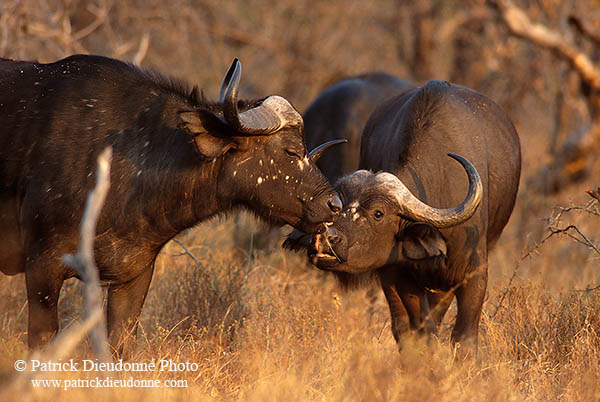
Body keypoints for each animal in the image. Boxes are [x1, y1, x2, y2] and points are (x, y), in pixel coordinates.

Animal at [286, 80, 520, 354]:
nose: (325, 239)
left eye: (378, 213)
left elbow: (464, 337)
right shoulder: (397, 275)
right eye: (336, 206)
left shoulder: (474, 273)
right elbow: (418, 330)